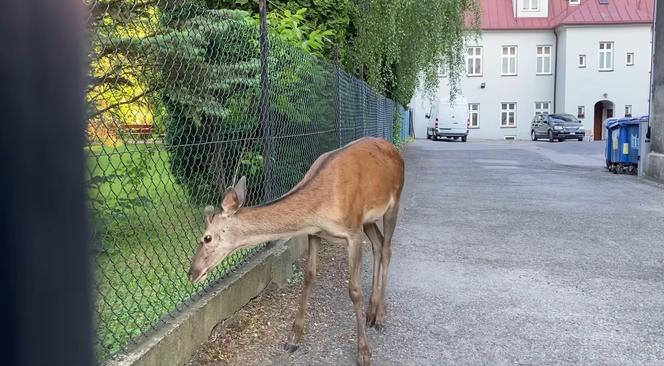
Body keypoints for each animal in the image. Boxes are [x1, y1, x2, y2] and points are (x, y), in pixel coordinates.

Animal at [187, 136, 404, 364]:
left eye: (207, 238)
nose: (192, 273)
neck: (320, 208)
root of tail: (394, 149)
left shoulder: (353, 231)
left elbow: (354, 290)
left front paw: (364, 352)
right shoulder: (315, 233)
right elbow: (309, 276)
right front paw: (293, 338)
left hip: (394, 201)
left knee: (387, 249)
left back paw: (380, 316)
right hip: (369, 219)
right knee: (378, 244)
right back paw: (371, 312)